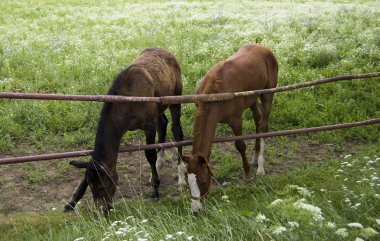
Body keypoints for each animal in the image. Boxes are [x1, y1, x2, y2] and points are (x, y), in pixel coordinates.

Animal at [63, 48, 184, 212]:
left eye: (102, 187)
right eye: (91, 186)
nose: (104, 209)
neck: (127, 101)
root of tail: (168, 52)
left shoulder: (149, 124)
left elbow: (150, 154)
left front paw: (156, 190)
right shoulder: (124, 128)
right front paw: (72, 201)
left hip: (176, 96)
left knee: (177, 130)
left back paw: (181, 177)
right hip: (159, 107)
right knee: (163, 123)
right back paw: (159, 167)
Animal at [183, 44, 278, 212]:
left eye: (203, 181)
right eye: (188, 182)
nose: (196, 210)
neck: (215, 93)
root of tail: (264, 48)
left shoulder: (236, 120)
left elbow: (240, 145)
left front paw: (247, 175)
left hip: (268, 94)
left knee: (263, 124)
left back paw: (260, 166)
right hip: (252, 98)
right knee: (257, 119)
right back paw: (255, 157)